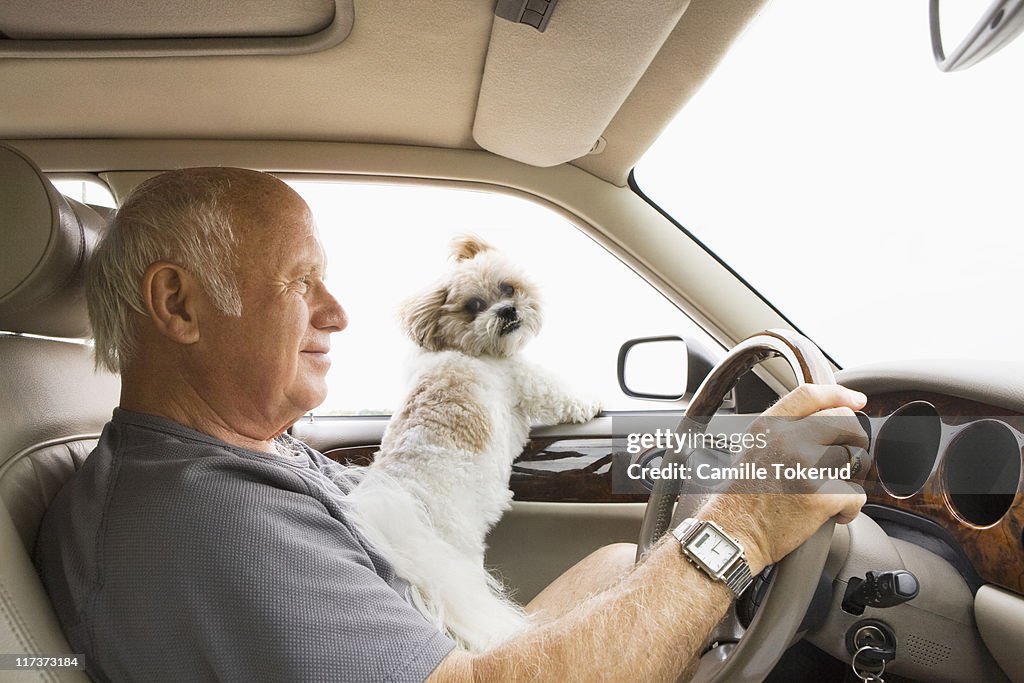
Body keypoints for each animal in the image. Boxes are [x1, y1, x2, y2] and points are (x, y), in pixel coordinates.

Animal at [344, 237, 598, 655]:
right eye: (474, 306)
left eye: (507, 288)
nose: (507, 310)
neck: (464, 348)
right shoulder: (525, 378)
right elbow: (559, 394)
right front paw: (592, 403)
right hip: (460, 550)